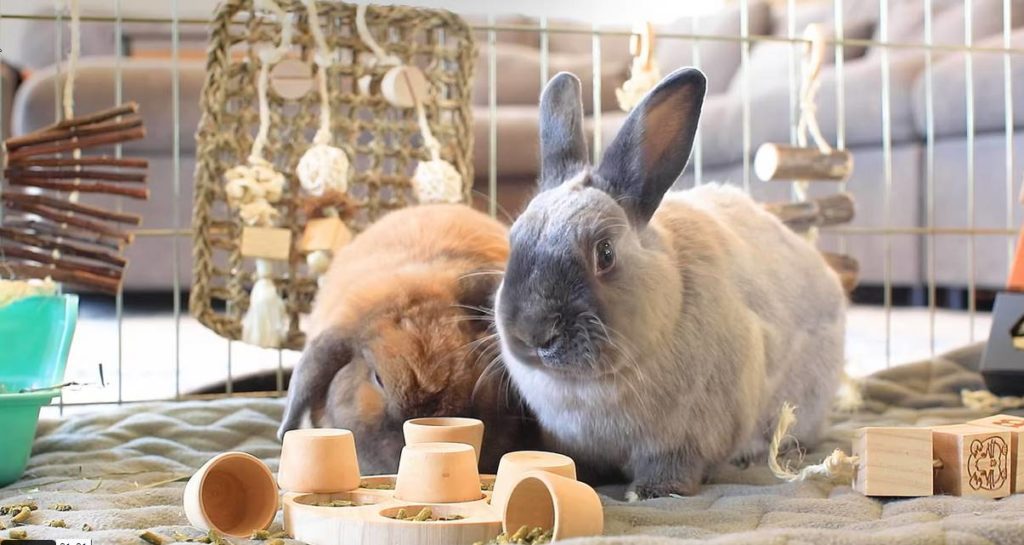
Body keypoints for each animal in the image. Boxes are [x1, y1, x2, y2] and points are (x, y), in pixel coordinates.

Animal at [491, 68, 843, 497]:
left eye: (605, 253)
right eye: (513, 242)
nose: (533, 332)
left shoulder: (683, 439)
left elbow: (672, 466)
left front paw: (649, 492)